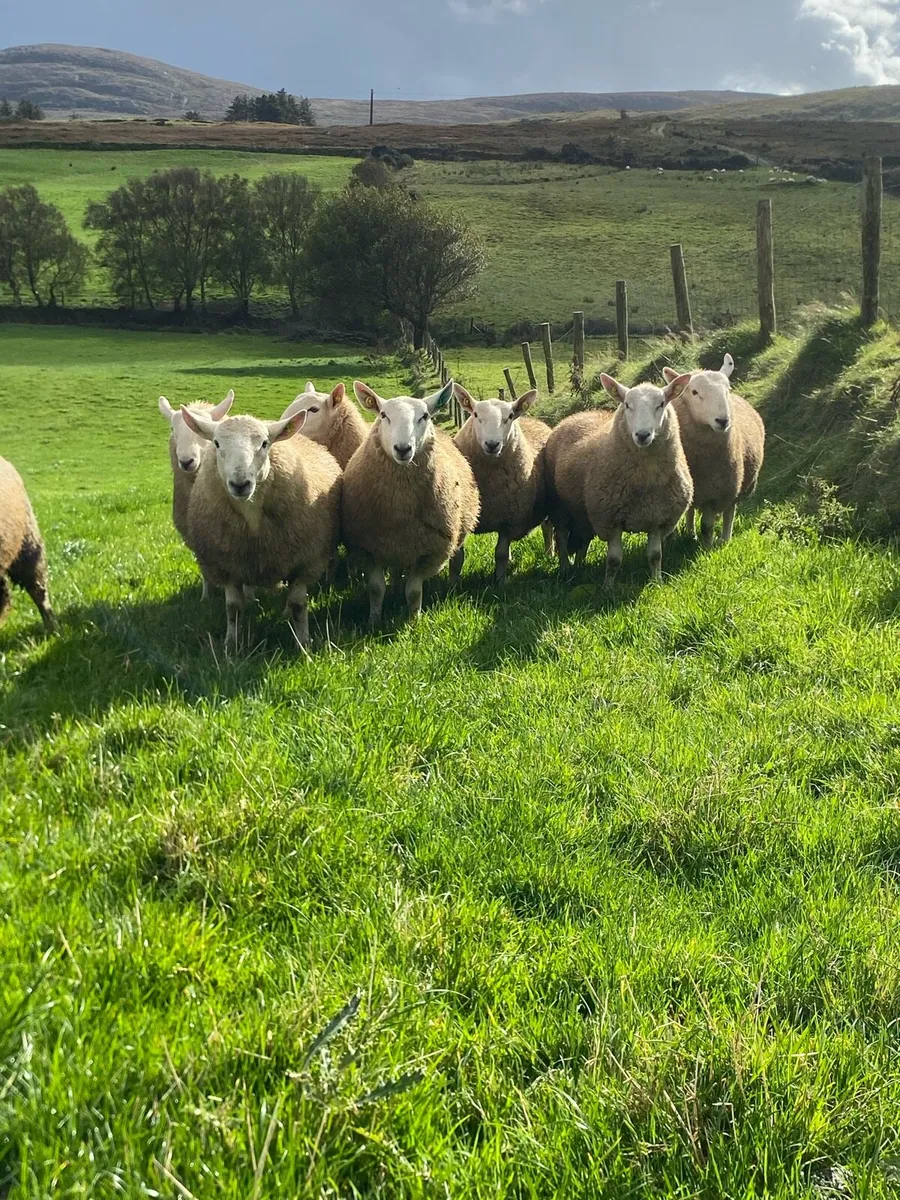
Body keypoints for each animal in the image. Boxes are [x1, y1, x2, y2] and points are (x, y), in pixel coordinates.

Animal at [159, 390, 234, 599]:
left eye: (202, 431)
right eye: (172, 429)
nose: (186, 461)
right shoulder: (194, 537)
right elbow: (204, 568)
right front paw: (205, 597)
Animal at [180, 405, 342, 649]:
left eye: (265, 443)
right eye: (216, 443)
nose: (240, 484)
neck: (252, 515)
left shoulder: (305, 562)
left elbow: (298, 604)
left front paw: (303, 643)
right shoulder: (227, 566)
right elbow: (233, 608)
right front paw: (231, 644)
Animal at [341, 379, 480, 628]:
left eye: (424, 416)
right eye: (383, 415)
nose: (403, 449)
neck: (400, 508)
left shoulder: (431, 552)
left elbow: (414, 591)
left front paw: (414, 621)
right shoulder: (367, 548)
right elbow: (376, 589)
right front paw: (373, 621)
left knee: (456, 559)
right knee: (396, 570)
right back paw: (395, 589)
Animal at [450, 384, 552, 583]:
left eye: (510, 416)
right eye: (475, 414)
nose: (492, 444)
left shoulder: (509, 520)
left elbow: (501, 553)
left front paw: (500, 581)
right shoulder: (463, 519)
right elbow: (457, 558)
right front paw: (452, 584)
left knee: (547, 528)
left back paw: (549, 555)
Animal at [662, 353, 765, 546]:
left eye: (727, 390)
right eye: (694, 392)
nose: (723, 421)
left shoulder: (715, 493)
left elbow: (707, 525)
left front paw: (707, 547)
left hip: (734, 485)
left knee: (729, 512)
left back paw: (725, 539)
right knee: (692, 510)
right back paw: (690, 532)